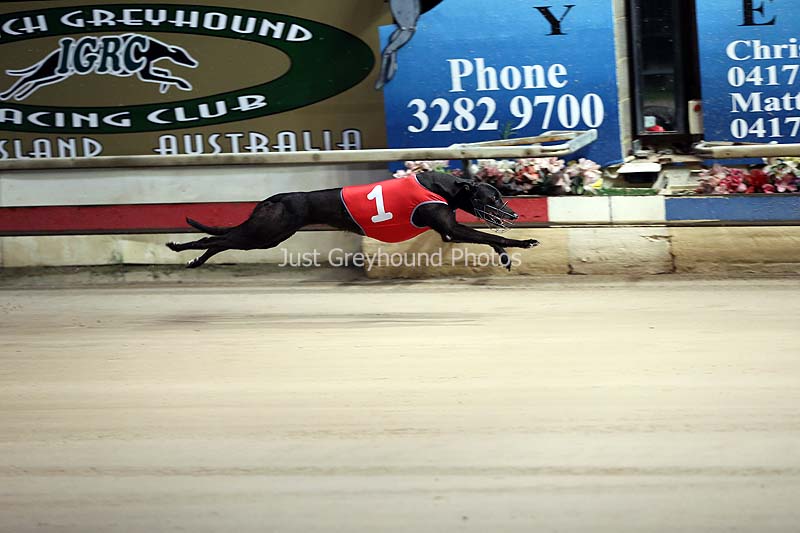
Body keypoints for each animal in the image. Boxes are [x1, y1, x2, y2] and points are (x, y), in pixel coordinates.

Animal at [166, 171, 539, 269]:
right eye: (492, 198)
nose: (514, 214)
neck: (444, 186)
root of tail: (274, 199)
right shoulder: (449, 229)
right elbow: (492, 235)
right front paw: (523, 242)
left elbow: (491, 239)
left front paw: (506, 257)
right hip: (266, 233)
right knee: (216, 239)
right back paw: (182, 248)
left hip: (266, 234)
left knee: (221, 239)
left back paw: (194, 259)